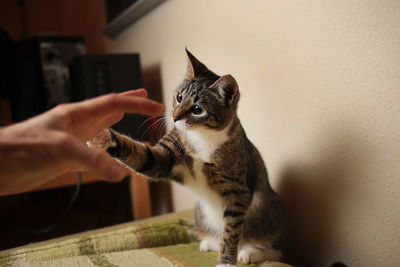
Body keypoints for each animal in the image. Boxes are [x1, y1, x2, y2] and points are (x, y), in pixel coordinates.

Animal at [89, 49, 286, 266]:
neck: (201, 136)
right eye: (179, 96)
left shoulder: (237, 188)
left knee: (274, 249)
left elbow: (230, 231)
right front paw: (102, 137)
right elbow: (145, 157)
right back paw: (210, 242)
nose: (174, 117)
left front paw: (226, 261)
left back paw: (249, 252)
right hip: (201, 212)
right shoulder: (167, 154)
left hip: (265, 211)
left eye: (197, 109)